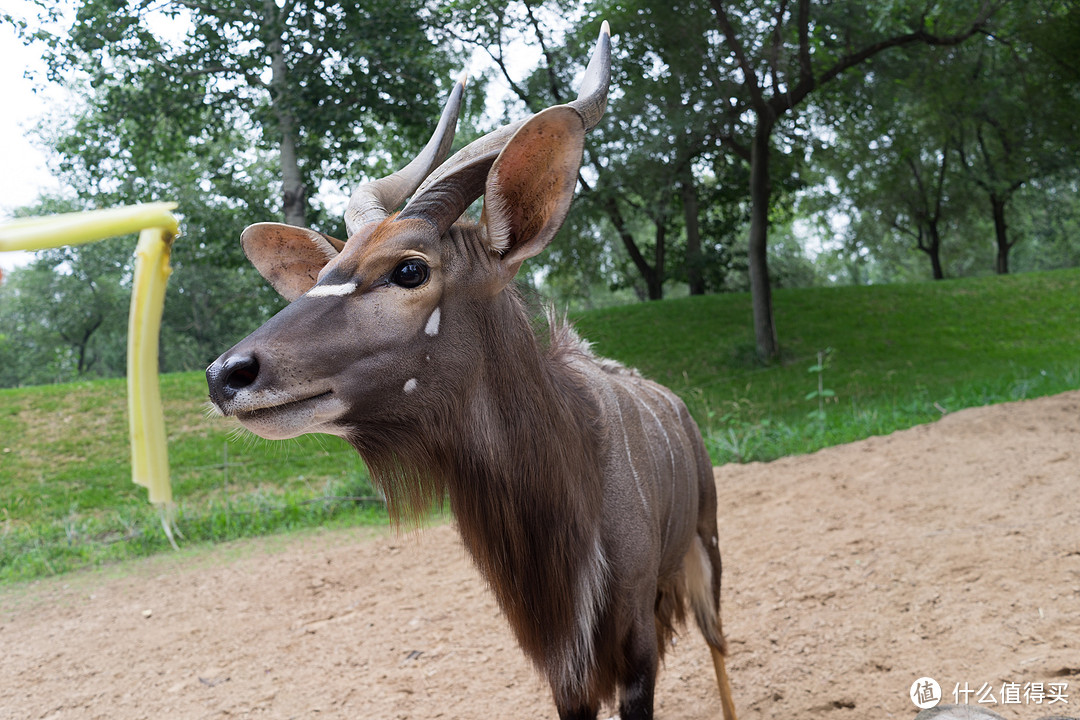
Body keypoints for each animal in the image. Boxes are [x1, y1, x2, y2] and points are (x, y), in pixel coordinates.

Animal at [205, 22, 734, 720]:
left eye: (409, 268)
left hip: (706, 545)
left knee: (720, 643)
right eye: (323, 274)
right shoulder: (563, 663)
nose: (225, 375)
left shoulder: (634, 643)